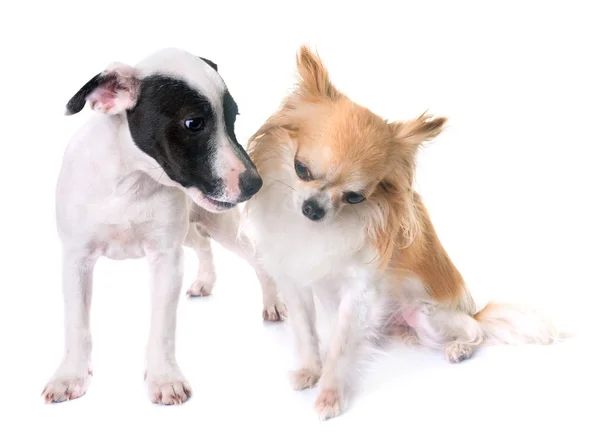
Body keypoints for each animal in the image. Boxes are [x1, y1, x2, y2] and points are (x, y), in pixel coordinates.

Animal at [42, 46, 286, 406]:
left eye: (233, 118)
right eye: (193, 123)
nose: (255, 184)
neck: (130, 183)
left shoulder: (167, 259)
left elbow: (162, 328)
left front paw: (164, 378)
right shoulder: (76, 258)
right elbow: (77, 324)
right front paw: (69, 376)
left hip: (222, 228)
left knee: (255, 258)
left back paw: (272, 301)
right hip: (191, 230)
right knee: (203, 245)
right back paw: (205, 281)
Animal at [240, 46, 568, 420]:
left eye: (355, 197)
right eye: (301, 169)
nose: (314, 208)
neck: (316, 228)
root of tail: (471, 310)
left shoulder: (358, 291)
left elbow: (340, 346)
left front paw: (330, 396)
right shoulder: (294, 282)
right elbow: (306, 333)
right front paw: (310, 371)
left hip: (427, 314)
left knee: (477, 332)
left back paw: (459, 348)